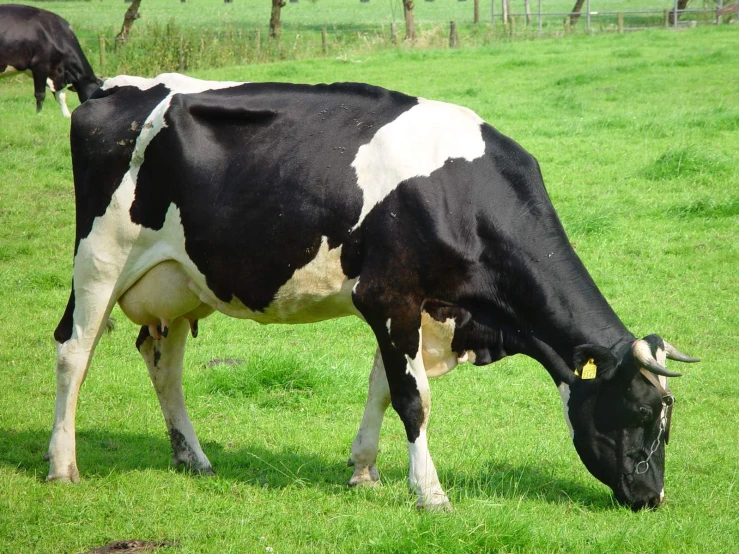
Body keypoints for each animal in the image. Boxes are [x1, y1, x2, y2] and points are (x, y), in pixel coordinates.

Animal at [47, 72, 700, 508]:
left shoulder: (420, 309)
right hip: (99, 259)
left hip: (180, 281)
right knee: (73, 352)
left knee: (164, 364)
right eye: (641, 411)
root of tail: (110, 88)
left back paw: (193, 457)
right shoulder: (389, 297)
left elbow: (383, 387)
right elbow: (413, 399)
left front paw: (363, 470)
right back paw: (63, 465)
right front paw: (430, 493)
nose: (652, 495)